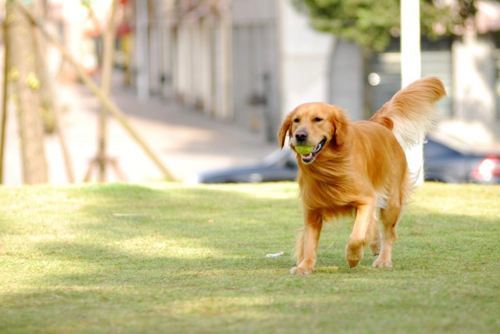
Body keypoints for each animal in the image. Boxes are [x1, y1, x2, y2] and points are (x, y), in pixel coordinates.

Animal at [278, 77, 446, 276]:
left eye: (318, 119)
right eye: (296, 120)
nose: (300, 136)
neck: (330, 166)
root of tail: (379, 123)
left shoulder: (366, 199)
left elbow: (356, 237)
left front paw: (353, 257)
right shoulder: (312, 210)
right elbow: (309, 242)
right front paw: (305, 266)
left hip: (392, 202)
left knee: (389, 233)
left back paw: (383, 259)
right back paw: (375, 244)